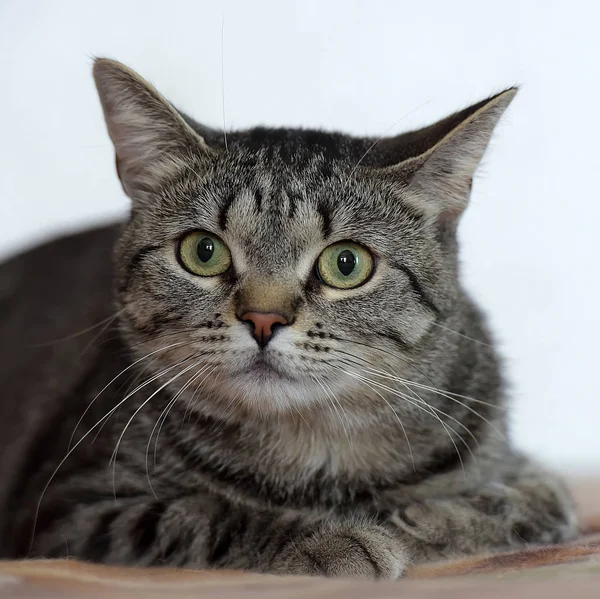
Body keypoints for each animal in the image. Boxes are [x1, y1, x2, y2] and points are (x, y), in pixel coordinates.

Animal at [0, 59, 576, 576]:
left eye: (346, 263)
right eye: (203, 252)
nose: (262, 319)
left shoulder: (526, 473)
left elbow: (528, 501)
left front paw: (430, 519)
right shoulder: (69, 511)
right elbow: (206, 514)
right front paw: (339, 538)